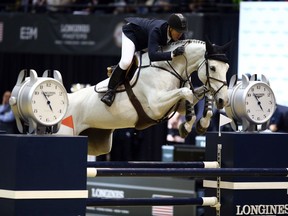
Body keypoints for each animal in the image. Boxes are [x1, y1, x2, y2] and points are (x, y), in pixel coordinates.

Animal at [57, 38, 231, 155]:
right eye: (213, 68)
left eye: (227, 67)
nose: (223, 100)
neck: (168, 68)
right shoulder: (156, 106)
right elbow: (186, 92)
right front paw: (187, 126)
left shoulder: (177, 105)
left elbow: (198, 94)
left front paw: (201, 124)